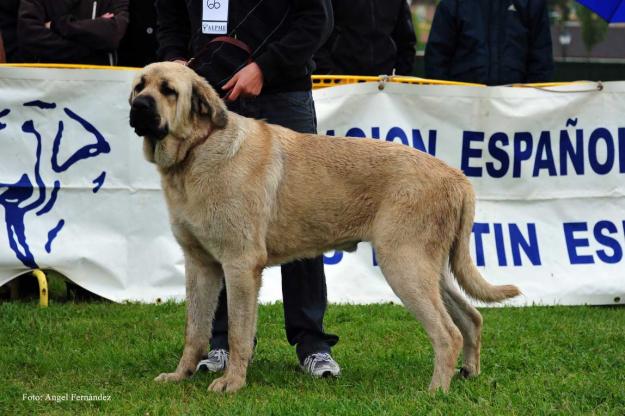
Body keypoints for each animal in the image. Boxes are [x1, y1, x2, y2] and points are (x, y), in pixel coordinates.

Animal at [128, 61, 520, 394]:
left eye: (169, 90)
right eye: (139, 86)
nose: (140, 107)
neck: (198, 149)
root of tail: (457, 177)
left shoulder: (240, 266)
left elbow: (239, 333)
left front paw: (232, 383)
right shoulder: (201, 266)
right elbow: (195, 330)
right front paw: (180, 375)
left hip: (404, 266)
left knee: (447, 333)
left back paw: (435, 392)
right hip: (429, 270)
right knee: (471, 317)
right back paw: (468, 374)